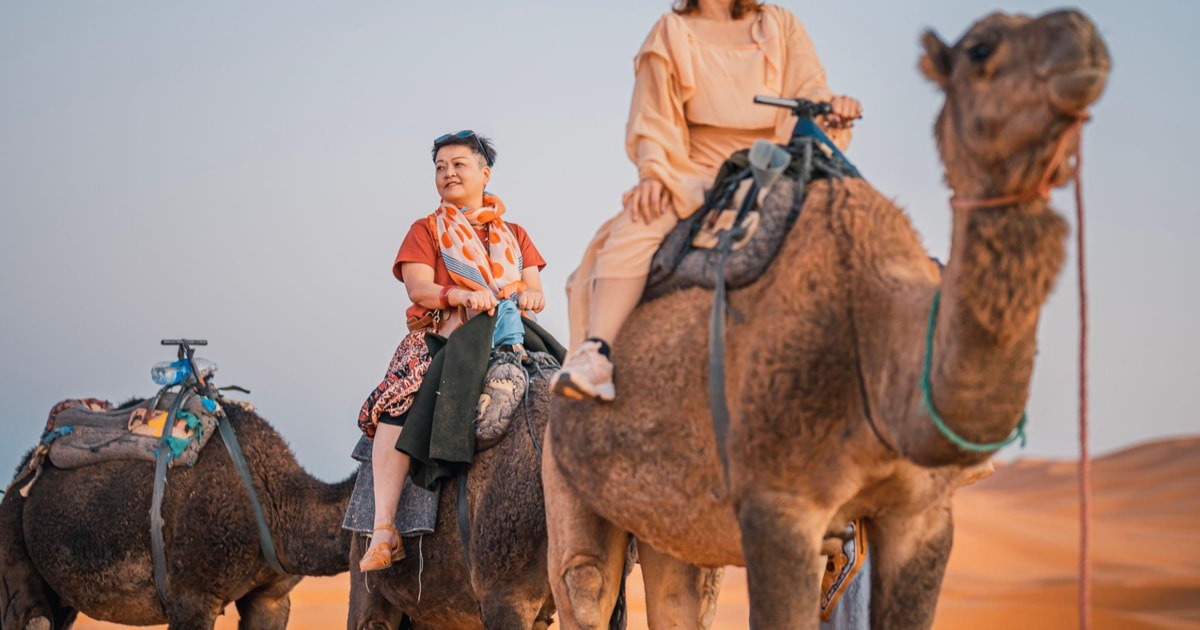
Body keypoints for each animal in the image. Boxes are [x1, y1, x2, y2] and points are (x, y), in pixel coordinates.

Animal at [544, 9, 1104, 628]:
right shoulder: (779, 508)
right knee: (585, 581)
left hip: (669, 515)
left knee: (676, 593)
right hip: (563, 471)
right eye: (981, 48)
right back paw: (587, 371)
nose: (1081, 38)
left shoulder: (923, 514)